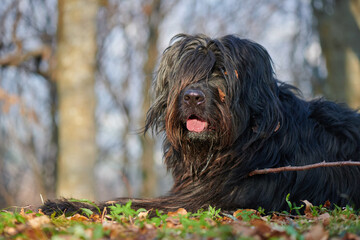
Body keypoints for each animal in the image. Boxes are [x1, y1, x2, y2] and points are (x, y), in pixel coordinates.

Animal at [40, 33, 360, 216]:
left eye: (223, 72)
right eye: (186, 73)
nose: (192, 97)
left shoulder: (209, 200)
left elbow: (130, 203)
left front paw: (64, 205)